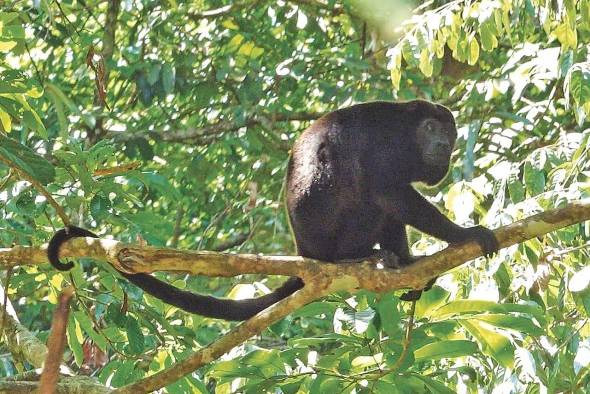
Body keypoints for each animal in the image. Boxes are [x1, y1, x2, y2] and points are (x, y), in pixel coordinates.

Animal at [47, 98, 500, 320]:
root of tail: (306, 253)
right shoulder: (388, 145)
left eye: (448, 132)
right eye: (430, 129)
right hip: (338, 233)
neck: (407, 131)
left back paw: (400, 262)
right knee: (370, 199)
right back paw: (364, 257)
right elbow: (389, 191)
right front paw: (466, 234)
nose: (443, 143)